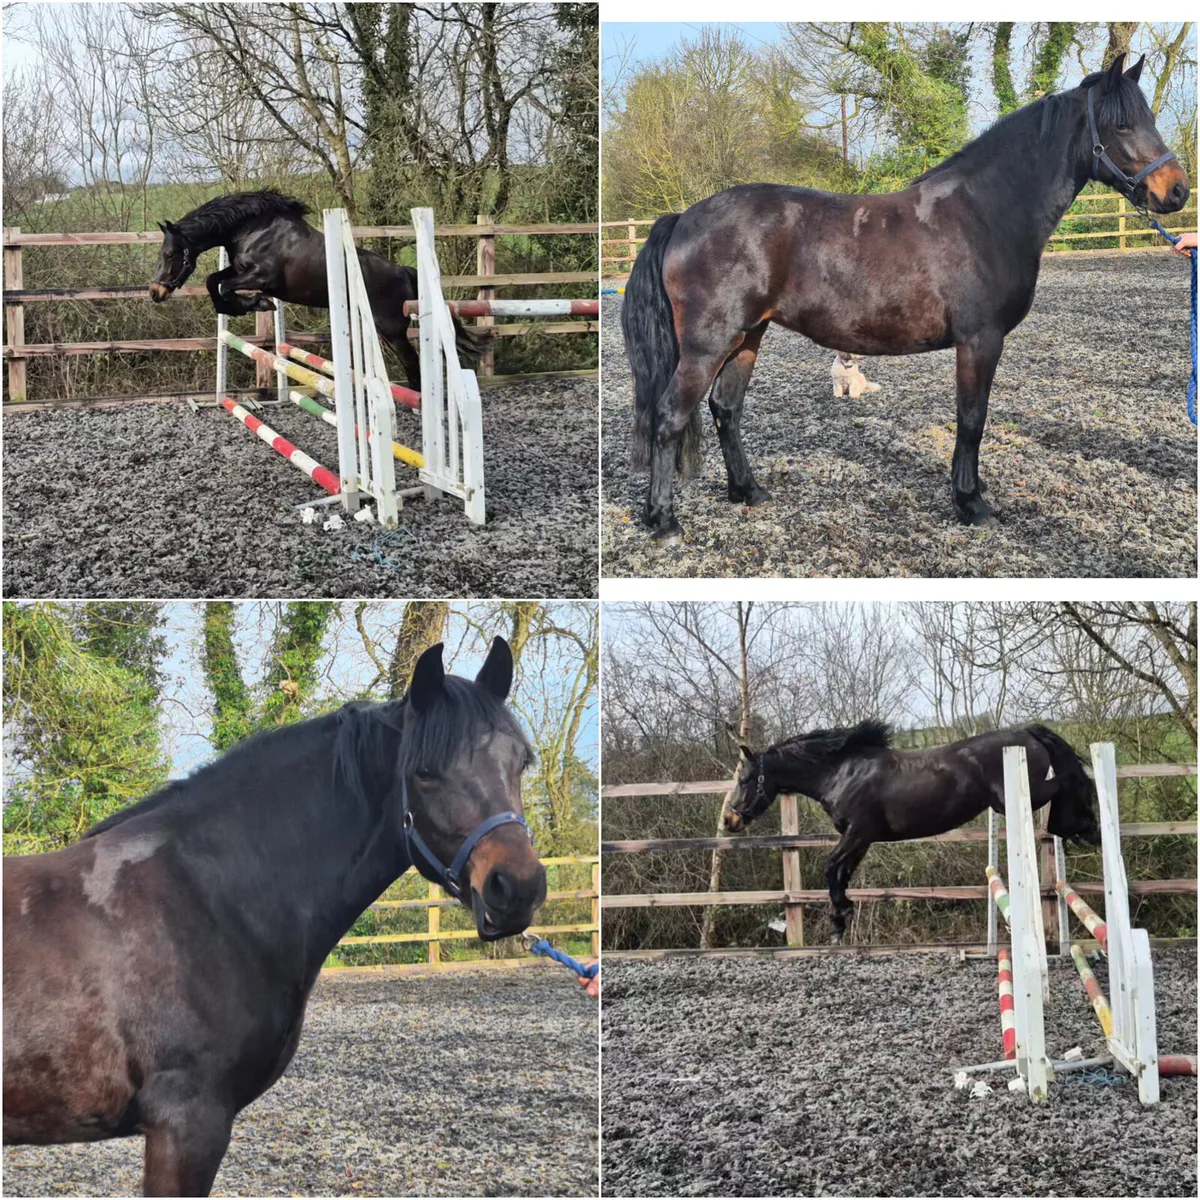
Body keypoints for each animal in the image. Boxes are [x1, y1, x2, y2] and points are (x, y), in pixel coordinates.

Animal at [148, 190, 487, 393]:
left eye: (169, 254)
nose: (155, 292)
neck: (252, 228)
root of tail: (404, 270)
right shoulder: (240, 269)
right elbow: (212, 280)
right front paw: (241, 306)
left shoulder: (263, 277)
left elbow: (227, 287)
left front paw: (258, 304)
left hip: (392, 329)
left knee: (413, 365)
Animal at [621, 53, 1190, 544]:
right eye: (1121, 124)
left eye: (1148, 117)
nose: (1178, 191)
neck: (985, 212)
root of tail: (685, 217)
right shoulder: (980, 341)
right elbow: (972, 418)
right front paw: (971, 503)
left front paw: (971, 492)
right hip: (707, 344)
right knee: (670, 416)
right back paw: (664, 521)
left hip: (748, 336)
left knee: (726, 408)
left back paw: (748, 491)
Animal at [723, 720, 1100, 943]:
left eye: (745, 779)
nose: (730, 821)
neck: (840, 773)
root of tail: (1027, 733)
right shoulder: (861, 839)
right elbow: (842, 874)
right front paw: (841, 919)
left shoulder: (858, 832)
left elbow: (831, 868)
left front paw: (839, 919)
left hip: (1020, 796)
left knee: (1066, 781)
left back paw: (1081, 827)